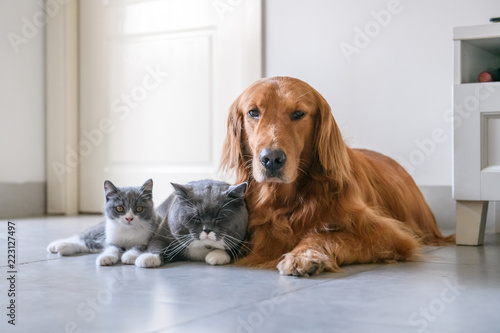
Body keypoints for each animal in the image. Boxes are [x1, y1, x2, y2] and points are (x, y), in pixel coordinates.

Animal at [221, 76, 456, 276]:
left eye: (298, 114)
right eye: (253, 112)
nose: (271, 159)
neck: (286, 201)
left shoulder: (389, 235)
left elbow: (323, 234)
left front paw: (304, 256)